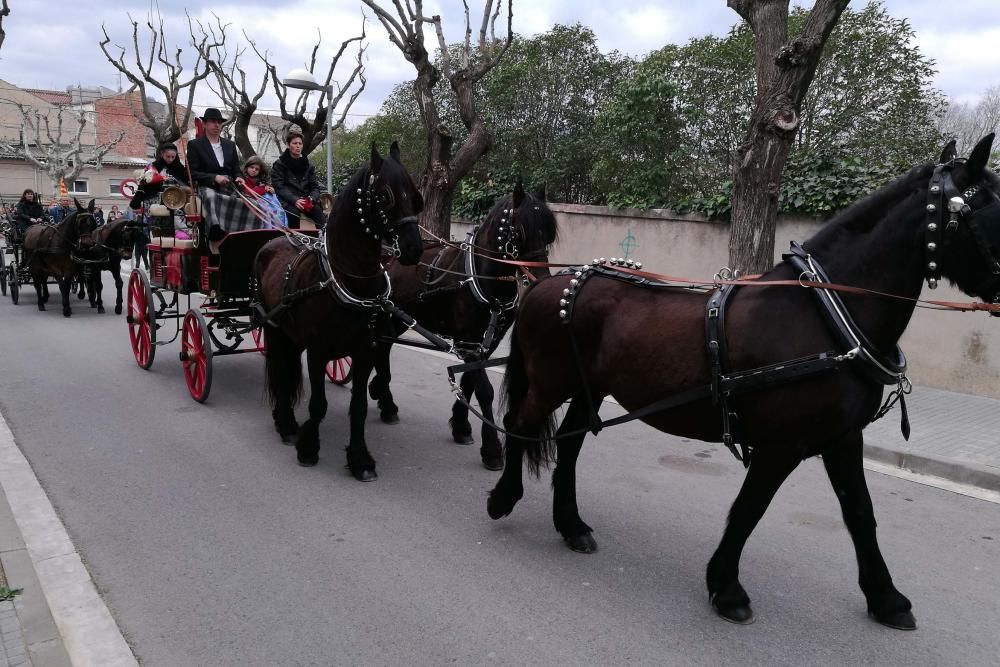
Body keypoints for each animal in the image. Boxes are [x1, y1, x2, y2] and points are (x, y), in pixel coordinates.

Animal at [256, 145, 424, 480]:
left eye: (415, 195)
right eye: (385, 196)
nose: (414, 248)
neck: (348, 278)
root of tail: (274, 240)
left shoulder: (364, 352)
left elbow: (358, 406)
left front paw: (360, 458)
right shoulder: (318, 351)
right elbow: (318, 404)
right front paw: (309, 447)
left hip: (292, 336)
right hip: (274, 329)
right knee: (280, 372)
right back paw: (286, 423)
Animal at [370, 179, 560, 470]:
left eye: (548, 235)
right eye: (519, 233)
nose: (539, 279)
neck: (480, 278)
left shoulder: (483, 344)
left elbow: (470, 381)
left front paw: (461, 427)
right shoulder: (469, 340)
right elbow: (485, 390)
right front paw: (491, 449)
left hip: (397, 316)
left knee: (383, 347)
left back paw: (383, 397)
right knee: (379, 346)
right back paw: (384, 397)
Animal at [486, 137, 1000, 632]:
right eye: (989, 209)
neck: (825, 315)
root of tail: (548, 284)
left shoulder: (842, 437)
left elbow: (860, 513)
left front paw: (886, 598)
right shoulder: (781, 445)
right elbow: (750, 509)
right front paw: (727, 588)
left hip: (589, 386)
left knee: (569, 443)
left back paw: (571, 525)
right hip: (552, 381)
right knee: (520, 422)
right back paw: (503, 497)